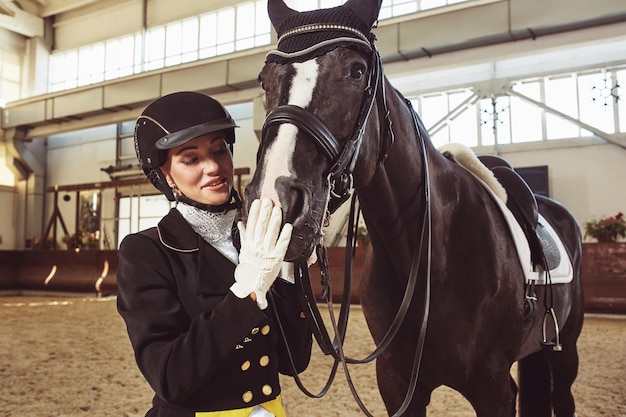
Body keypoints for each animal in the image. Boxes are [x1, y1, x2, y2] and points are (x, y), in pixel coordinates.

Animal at [243, 1, 580, 414]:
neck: (433, 255)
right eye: (264, 80)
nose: (276, 204)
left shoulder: (495, 390)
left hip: (566, 351)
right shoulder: (397, 384)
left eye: (357, 71)